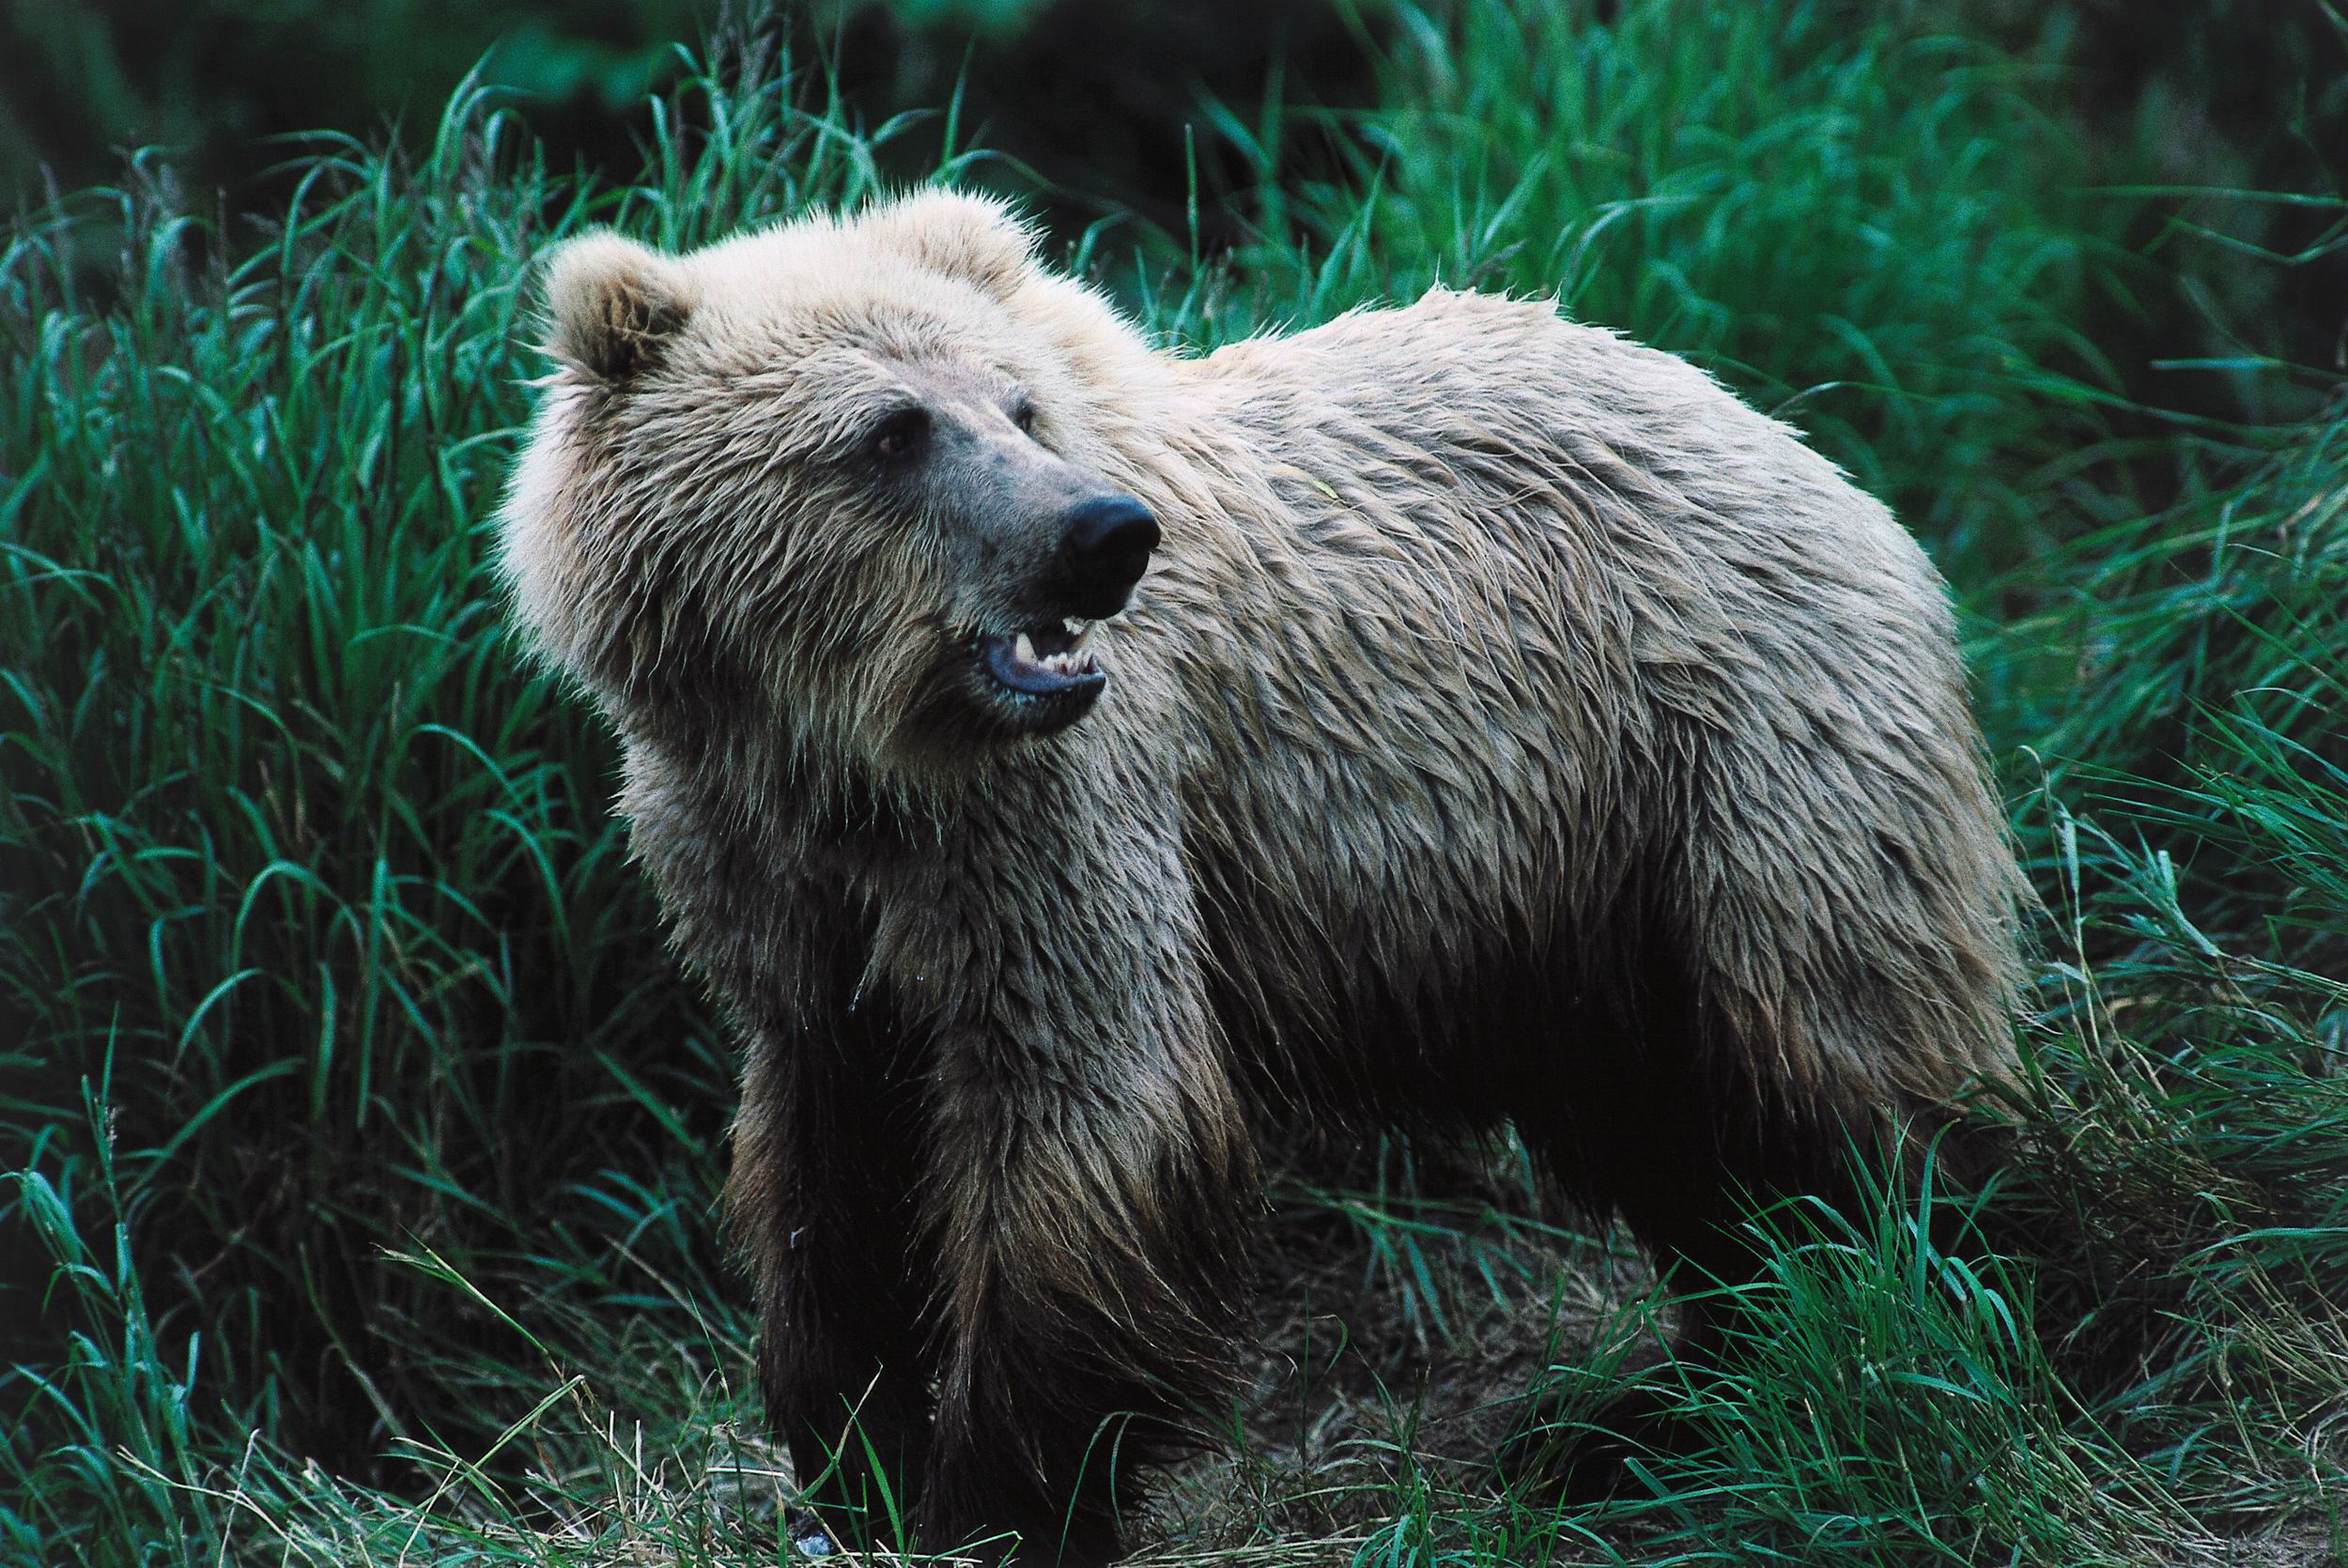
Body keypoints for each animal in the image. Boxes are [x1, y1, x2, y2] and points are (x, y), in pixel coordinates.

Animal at [495, 189, 2026, 1564]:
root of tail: (1788, 436)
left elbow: (1088, 1117)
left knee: (1827, 1071)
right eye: (888, 431)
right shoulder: (771, 875)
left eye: (1017, 407)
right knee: (1656, 1109)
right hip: (1575, 892)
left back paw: (1904, 1318)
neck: (852, 754)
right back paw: (1660, 1402)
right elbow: (825, 1161)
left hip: (1732, 756)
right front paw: (851, 1449)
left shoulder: (1054, 827)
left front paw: (998, 1499)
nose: (1101, 534)